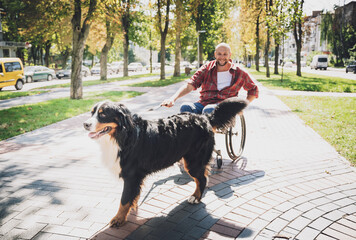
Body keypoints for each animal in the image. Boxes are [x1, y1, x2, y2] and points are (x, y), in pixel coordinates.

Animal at [83, 97, 248, 227]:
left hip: (193, 162)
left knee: (202, 179)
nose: (85, 124)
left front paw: (118, 219)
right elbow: (132, 196)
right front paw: (132, 208)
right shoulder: (135, 178)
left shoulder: (131, 175)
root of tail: (204, 118)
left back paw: (196, 197)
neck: (123, 136)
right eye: (92, 113)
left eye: (103, 114)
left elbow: (124, 200)